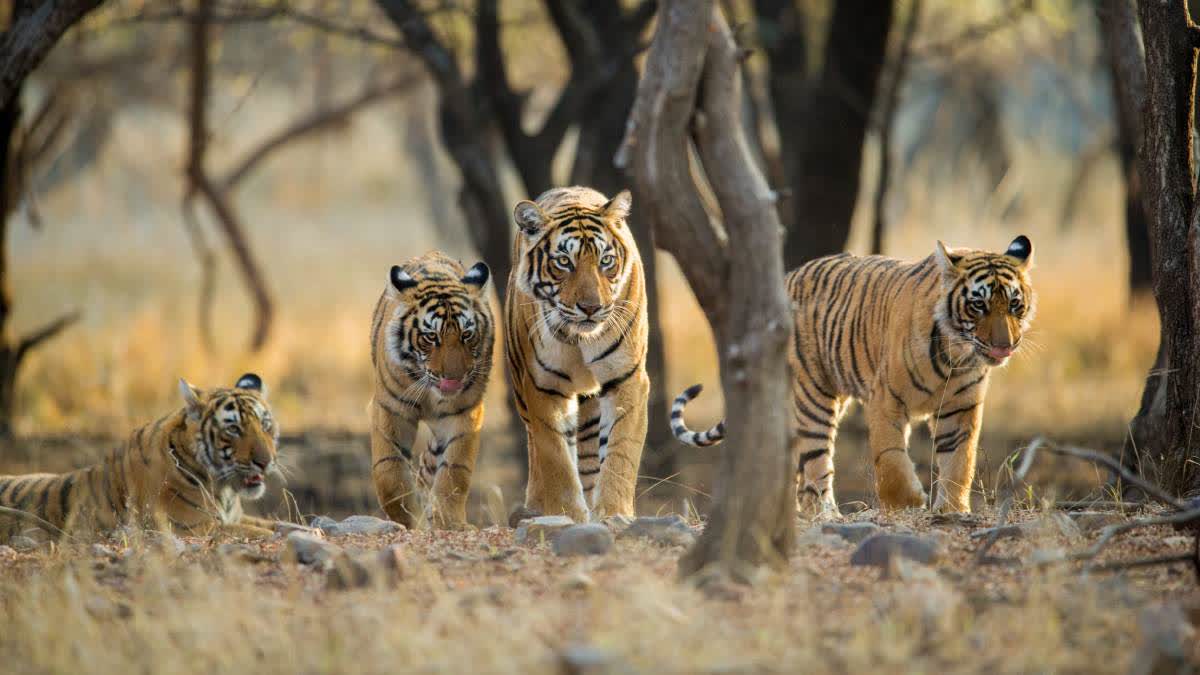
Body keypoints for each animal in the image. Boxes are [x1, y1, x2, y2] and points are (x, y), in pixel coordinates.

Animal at [0, 369, 283, 538]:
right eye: (233, 429)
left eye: (265, 424)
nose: (265, 462)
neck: (224, 491)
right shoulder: (194, 527)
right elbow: (261, 533)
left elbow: (279, 524)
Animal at [367, 249, 494, 528]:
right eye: (430, 337)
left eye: (467, 335)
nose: (454, 379)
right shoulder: (390, 408)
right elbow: (389, 471)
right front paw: (407, 519)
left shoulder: (464, 412)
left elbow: (454, 470)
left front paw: (447, 521)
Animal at [508, 183, 657, 521]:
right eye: (564, 262)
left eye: (606, 260)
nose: (591, 307)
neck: (579, 338)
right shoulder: (542, 386)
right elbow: (556, 457)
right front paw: (568, 515)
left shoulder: (627, 378)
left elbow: (619, 451)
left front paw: (613, 513)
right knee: (535, 446)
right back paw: (536, 505)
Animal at [672, 234, 1036, 511]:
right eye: (979, 305)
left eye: (1014, 304)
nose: (1005, 345)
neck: (955, 355)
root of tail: (787, 277)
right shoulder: (885, 399)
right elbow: (891, 459)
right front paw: (908, 503)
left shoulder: (960, 408)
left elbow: (960, 462)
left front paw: (952, 510)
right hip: (813, 397)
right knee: (816, 465)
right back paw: (826, 515)